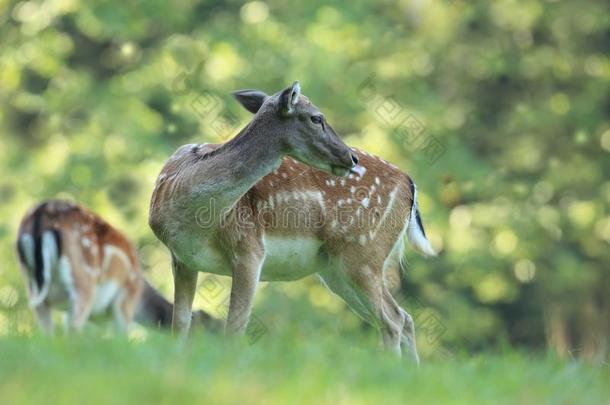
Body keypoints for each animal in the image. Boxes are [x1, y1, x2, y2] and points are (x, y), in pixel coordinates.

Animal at [16, 200, 218, 334]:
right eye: (209, 329)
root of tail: (40, 217)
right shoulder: (125, 301)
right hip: (83, 280)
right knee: (73, 326)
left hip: (33, 286)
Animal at [147, 80, 432, 362]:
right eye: (316, 118)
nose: (351, 158)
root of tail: (410, 183)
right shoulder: (183, 259)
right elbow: (180, 325)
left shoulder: (250, 247)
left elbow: (234, 330)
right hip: (339, 268)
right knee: (403, 317)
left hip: (363, 252)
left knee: (392, 320)